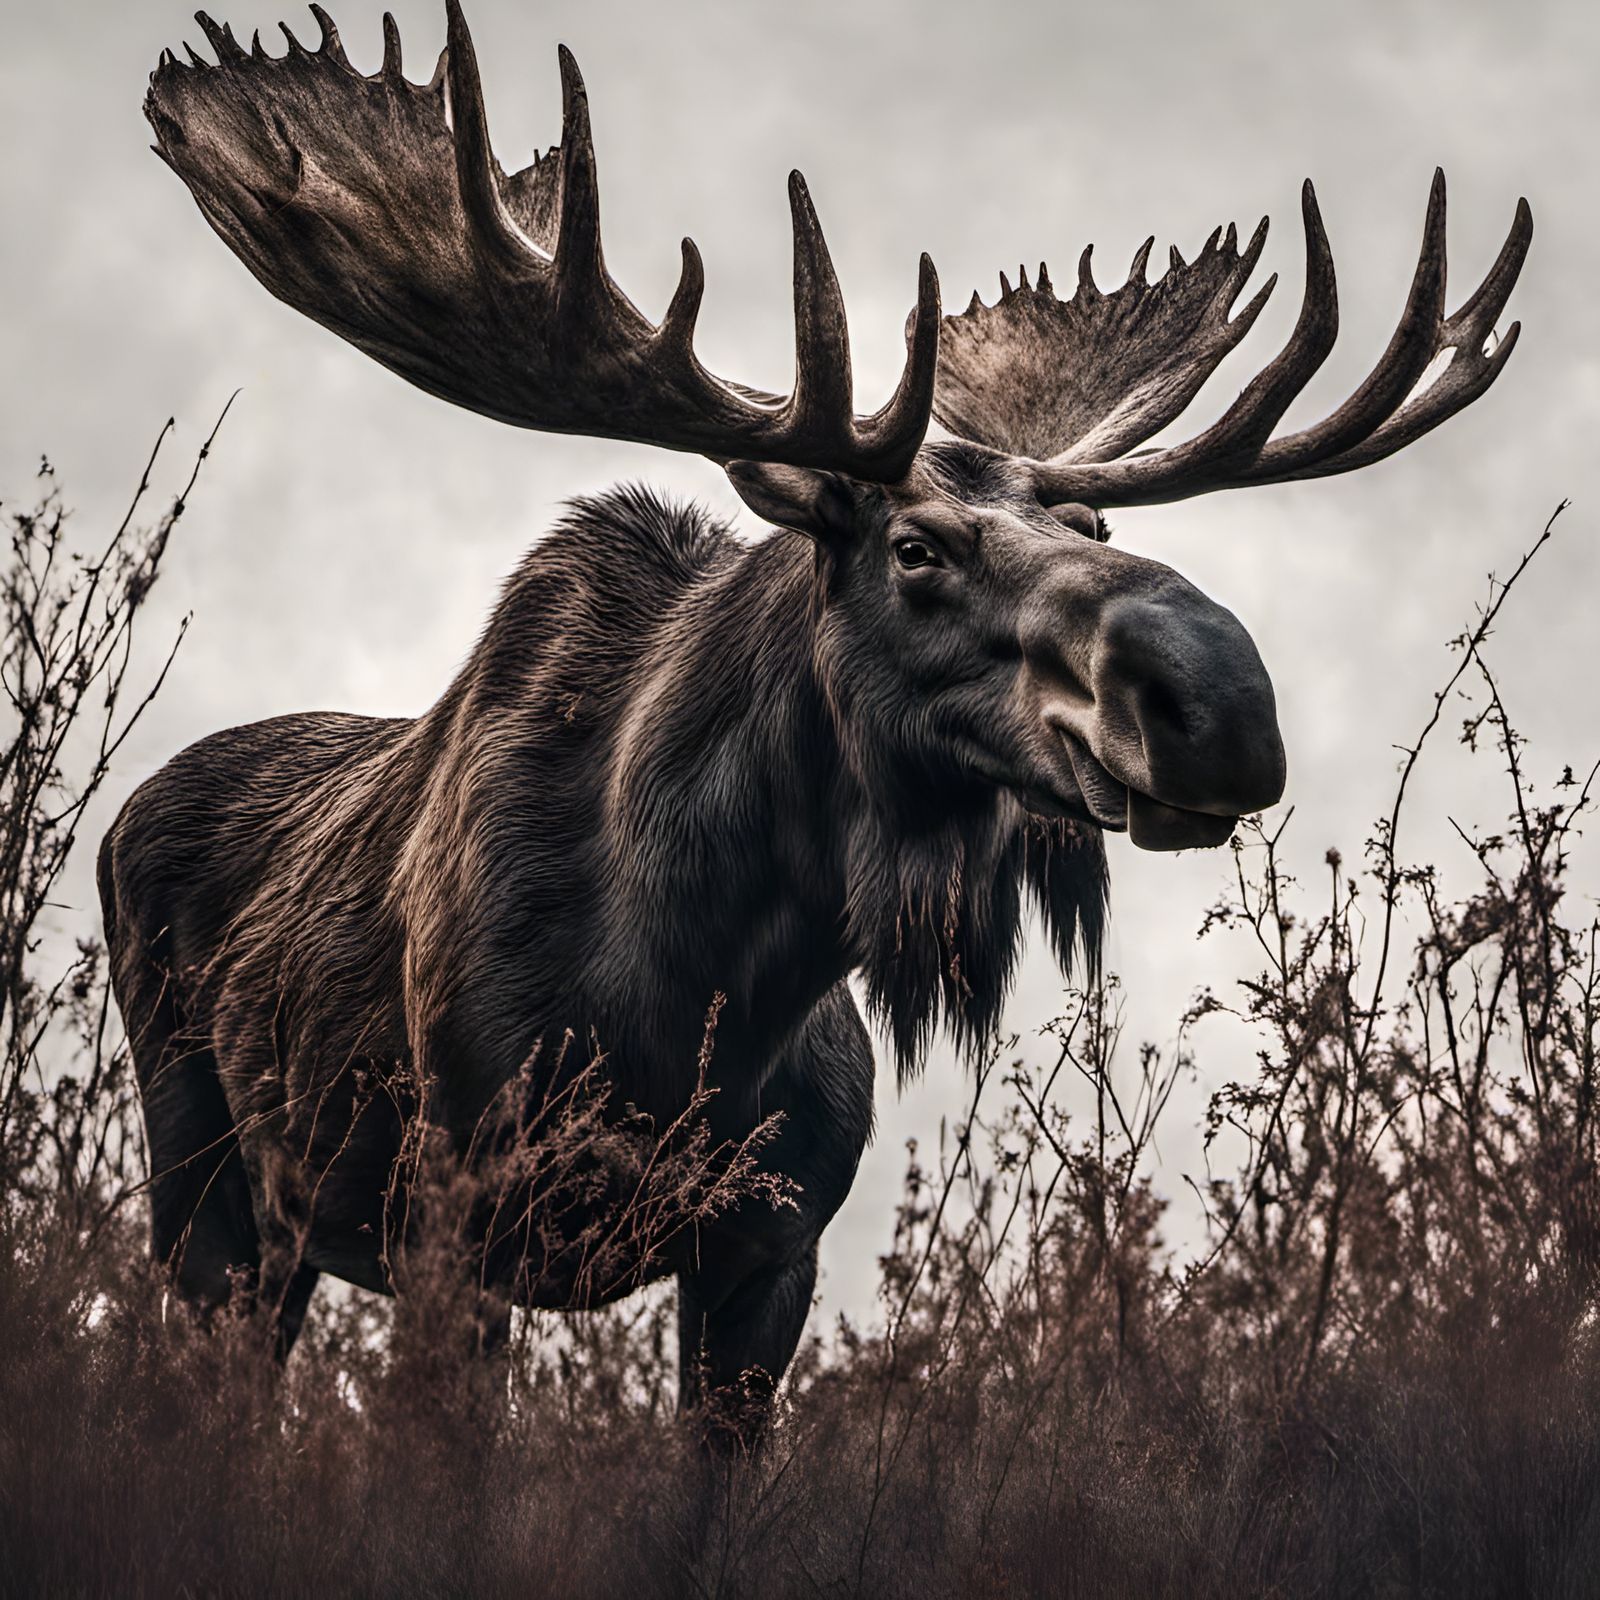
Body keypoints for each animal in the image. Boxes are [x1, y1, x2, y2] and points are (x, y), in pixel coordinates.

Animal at [104, 1, 1530, 1454]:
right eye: (914, 547)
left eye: (1094, 522)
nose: (1222, 700)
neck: (700, 972)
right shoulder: (454, 1220)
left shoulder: (768, 1254)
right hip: (204, 1174)